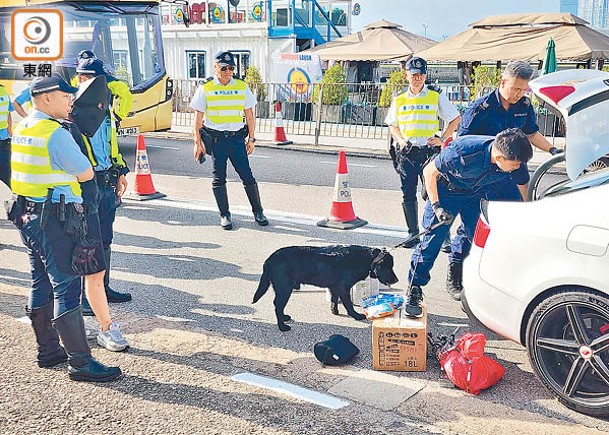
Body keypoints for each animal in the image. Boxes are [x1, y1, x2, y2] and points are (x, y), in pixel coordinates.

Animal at [252, 247, 400, 332]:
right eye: (388, 267)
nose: (396, 280)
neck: (364, 258)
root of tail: (271, 258)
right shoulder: (344, 288)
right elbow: (348, 305)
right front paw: (356, 315)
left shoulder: (335, 287)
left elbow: (334, 299)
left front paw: (335, 311)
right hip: (285, 288)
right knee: (278, 305)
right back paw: (282, 326)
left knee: (279, 306)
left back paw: (284, 318)